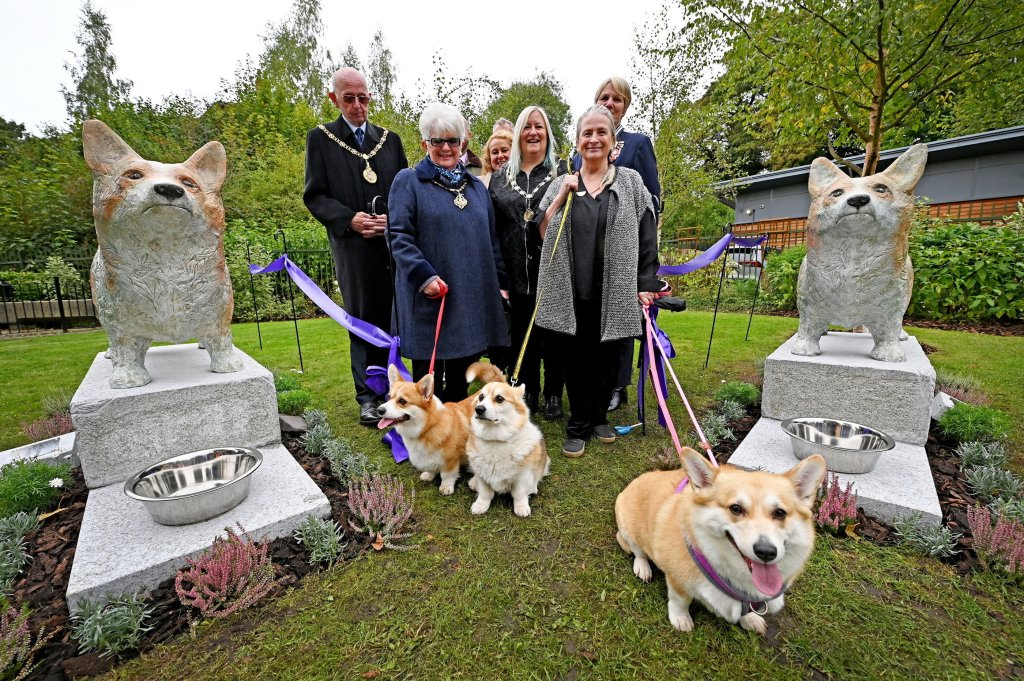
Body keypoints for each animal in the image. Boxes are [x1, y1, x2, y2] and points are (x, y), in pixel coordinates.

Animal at [376, 360, 503, 493]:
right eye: (389, 397)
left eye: (402, 401)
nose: (379, 410)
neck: (427, 427)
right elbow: (431, 467)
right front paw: (429, 475)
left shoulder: (451, 460)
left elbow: (447, 475)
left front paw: (446, 487)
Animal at [468, 382, 552, 516]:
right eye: (481, 397)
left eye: (499, 398)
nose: (479, 409)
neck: (495, 440)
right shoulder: (482, 475)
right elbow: (485, 493)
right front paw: (480, 505)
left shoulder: (522, 476)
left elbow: (519, 494)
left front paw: (521, 507)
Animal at [614, 448, 823, 634]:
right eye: (736, 508)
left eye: (780, 513)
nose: (766, 552)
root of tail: (637, 479)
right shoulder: (677, 579)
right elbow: (680, 601)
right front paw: (680, 619)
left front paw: (750, 619)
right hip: (628, 530)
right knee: (639, 552)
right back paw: (643, 568)